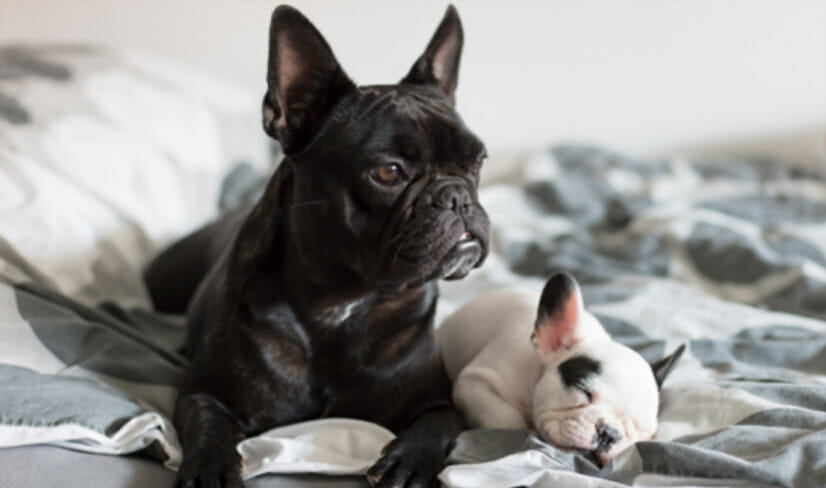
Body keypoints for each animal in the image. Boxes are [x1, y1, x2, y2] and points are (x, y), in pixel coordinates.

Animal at [144, 4, 486, 488]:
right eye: (388, 172)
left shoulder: (438, 401)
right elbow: (208, 425)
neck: (341, 301)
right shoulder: (203, 392)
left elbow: (438, 425)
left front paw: (409, 460)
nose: (457, 195)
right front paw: (209, 469)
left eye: (478, 162)